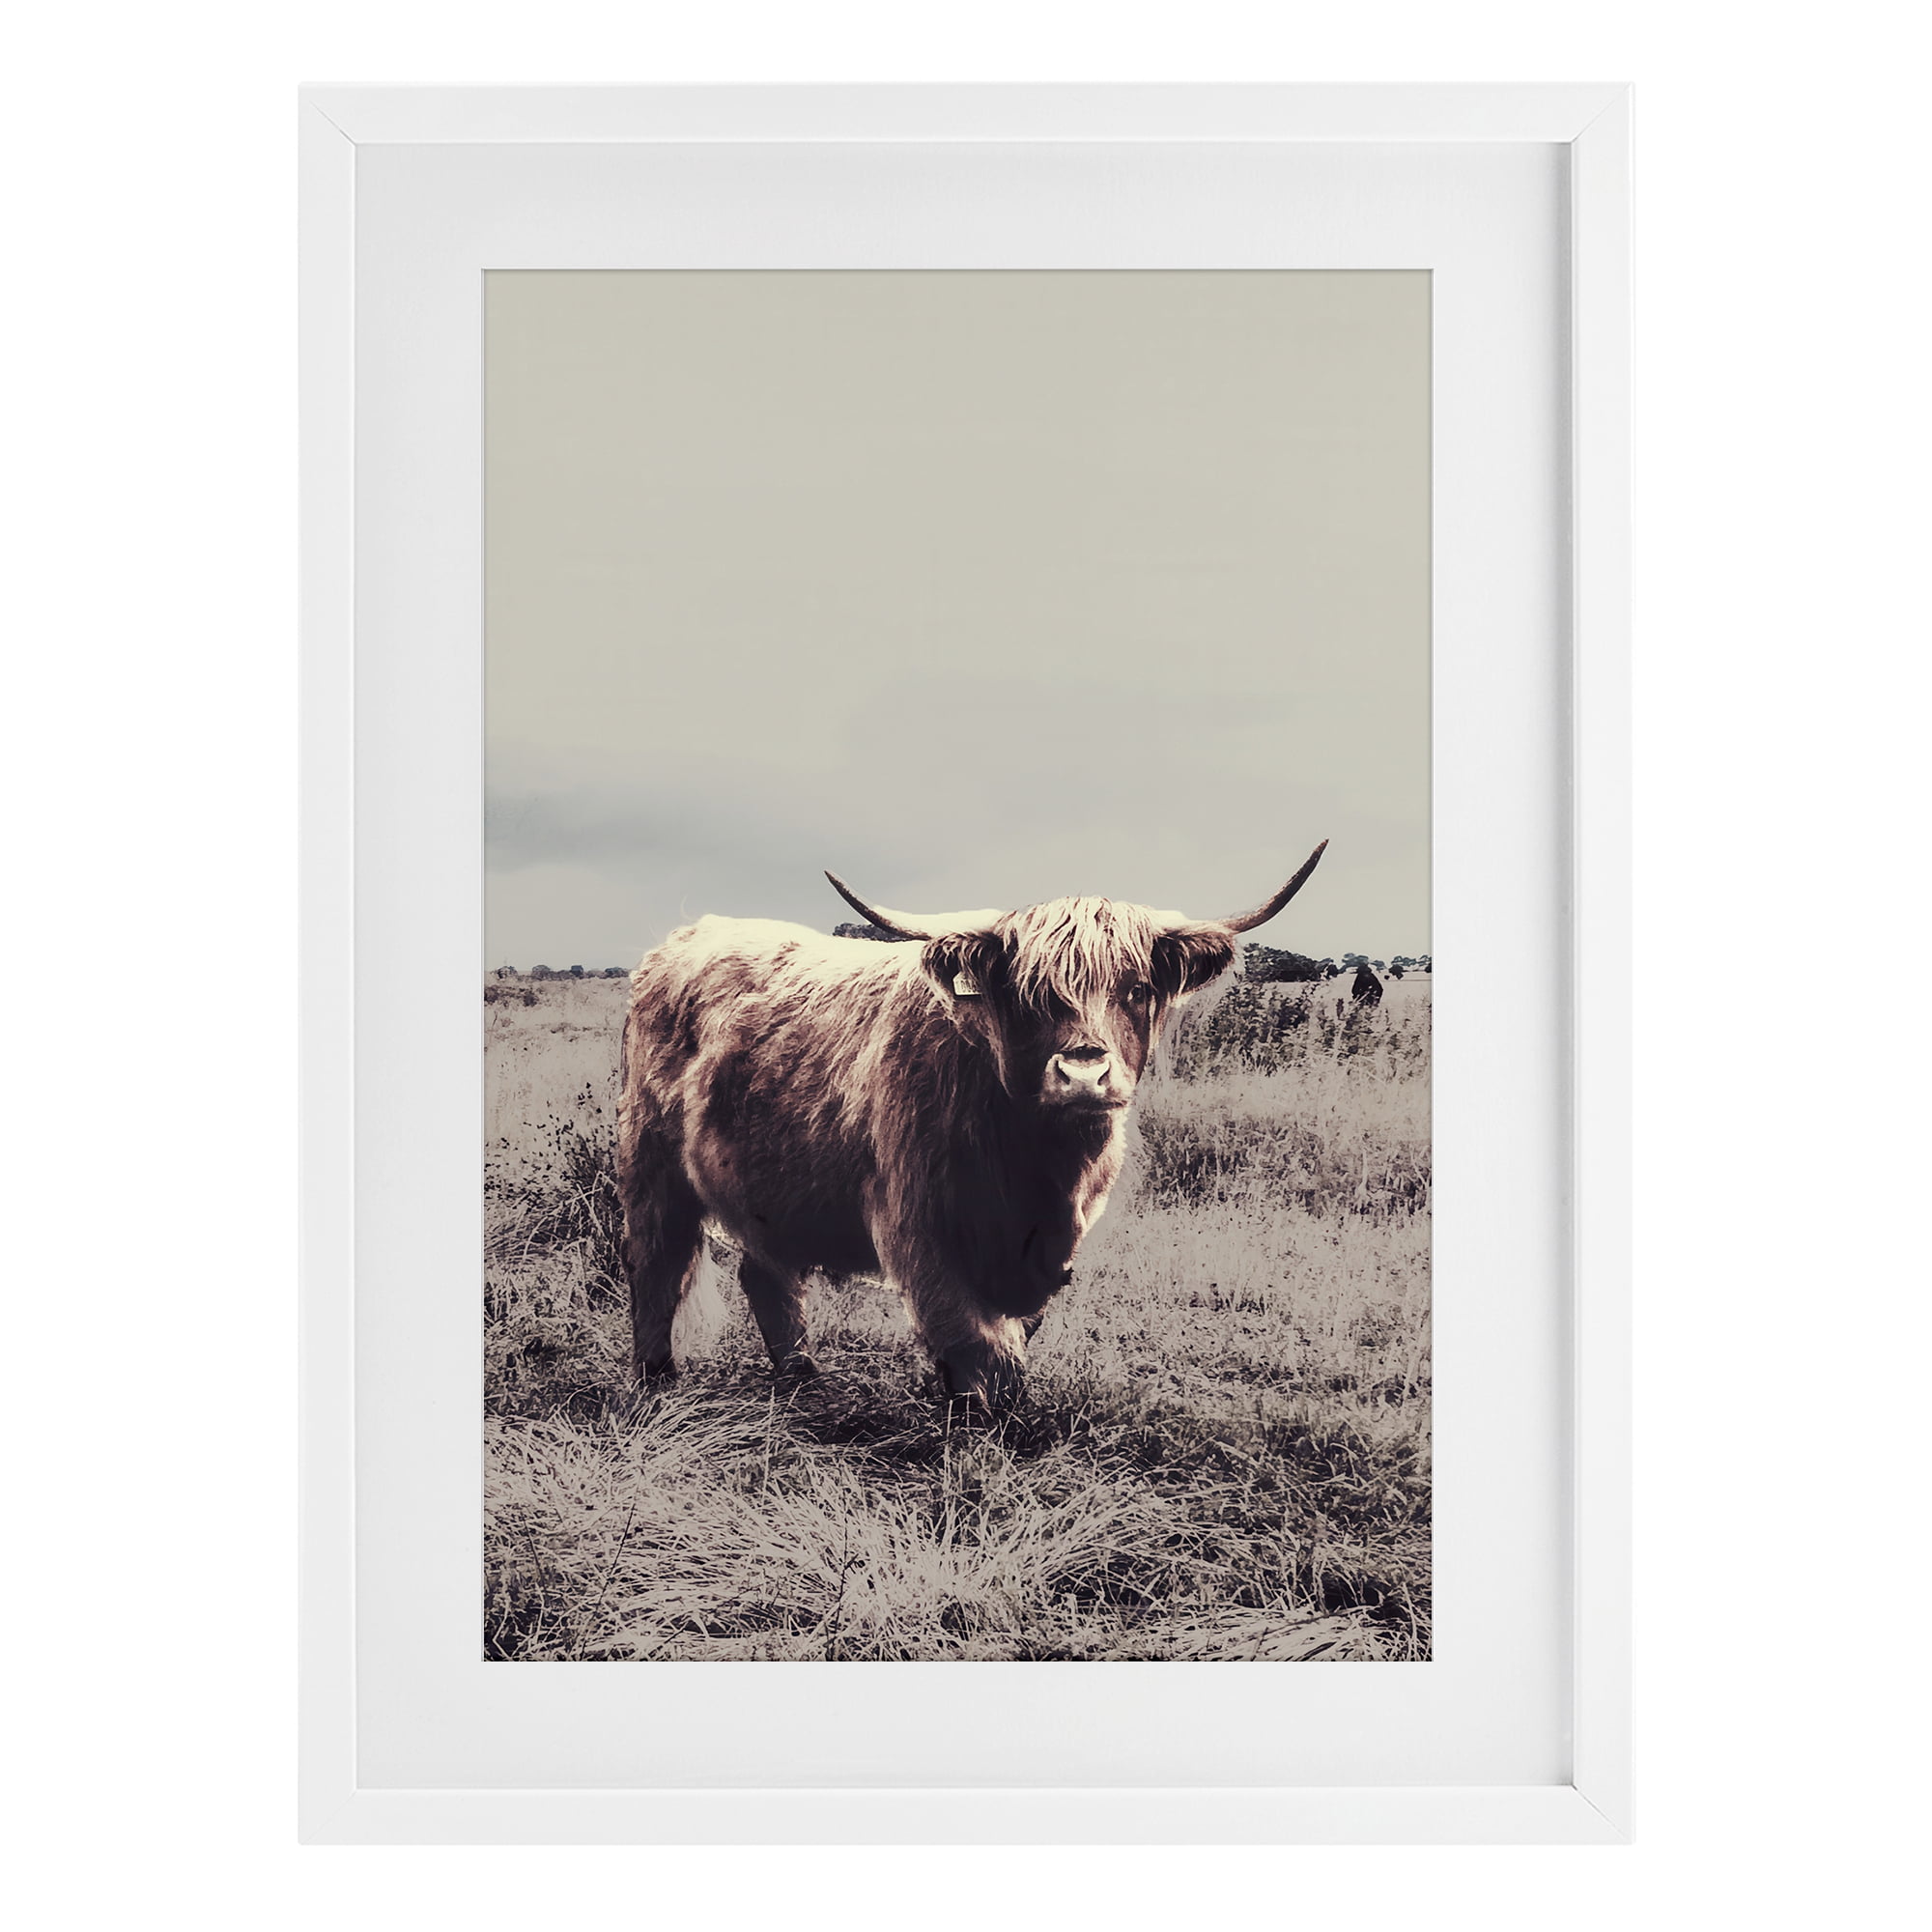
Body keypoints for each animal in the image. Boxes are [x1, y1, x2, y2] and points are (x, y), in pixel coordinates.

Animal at [614, 841, 1327, 1413]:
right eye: (1028, 995)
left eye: (1135, 988)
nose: (1084, 1073)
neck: (1036, 1167)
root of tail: (685, 937)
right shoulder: (918, 1228)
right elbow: (975, 1341)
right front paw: (979, 1428)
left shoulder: (1051, 1247)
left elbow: (1014, 1334)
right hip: (651, 1164)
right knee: (656, 1265)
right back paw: (655, 1380)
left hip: (767, 1186)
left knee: (767, 1276)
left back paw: (803, 1381)